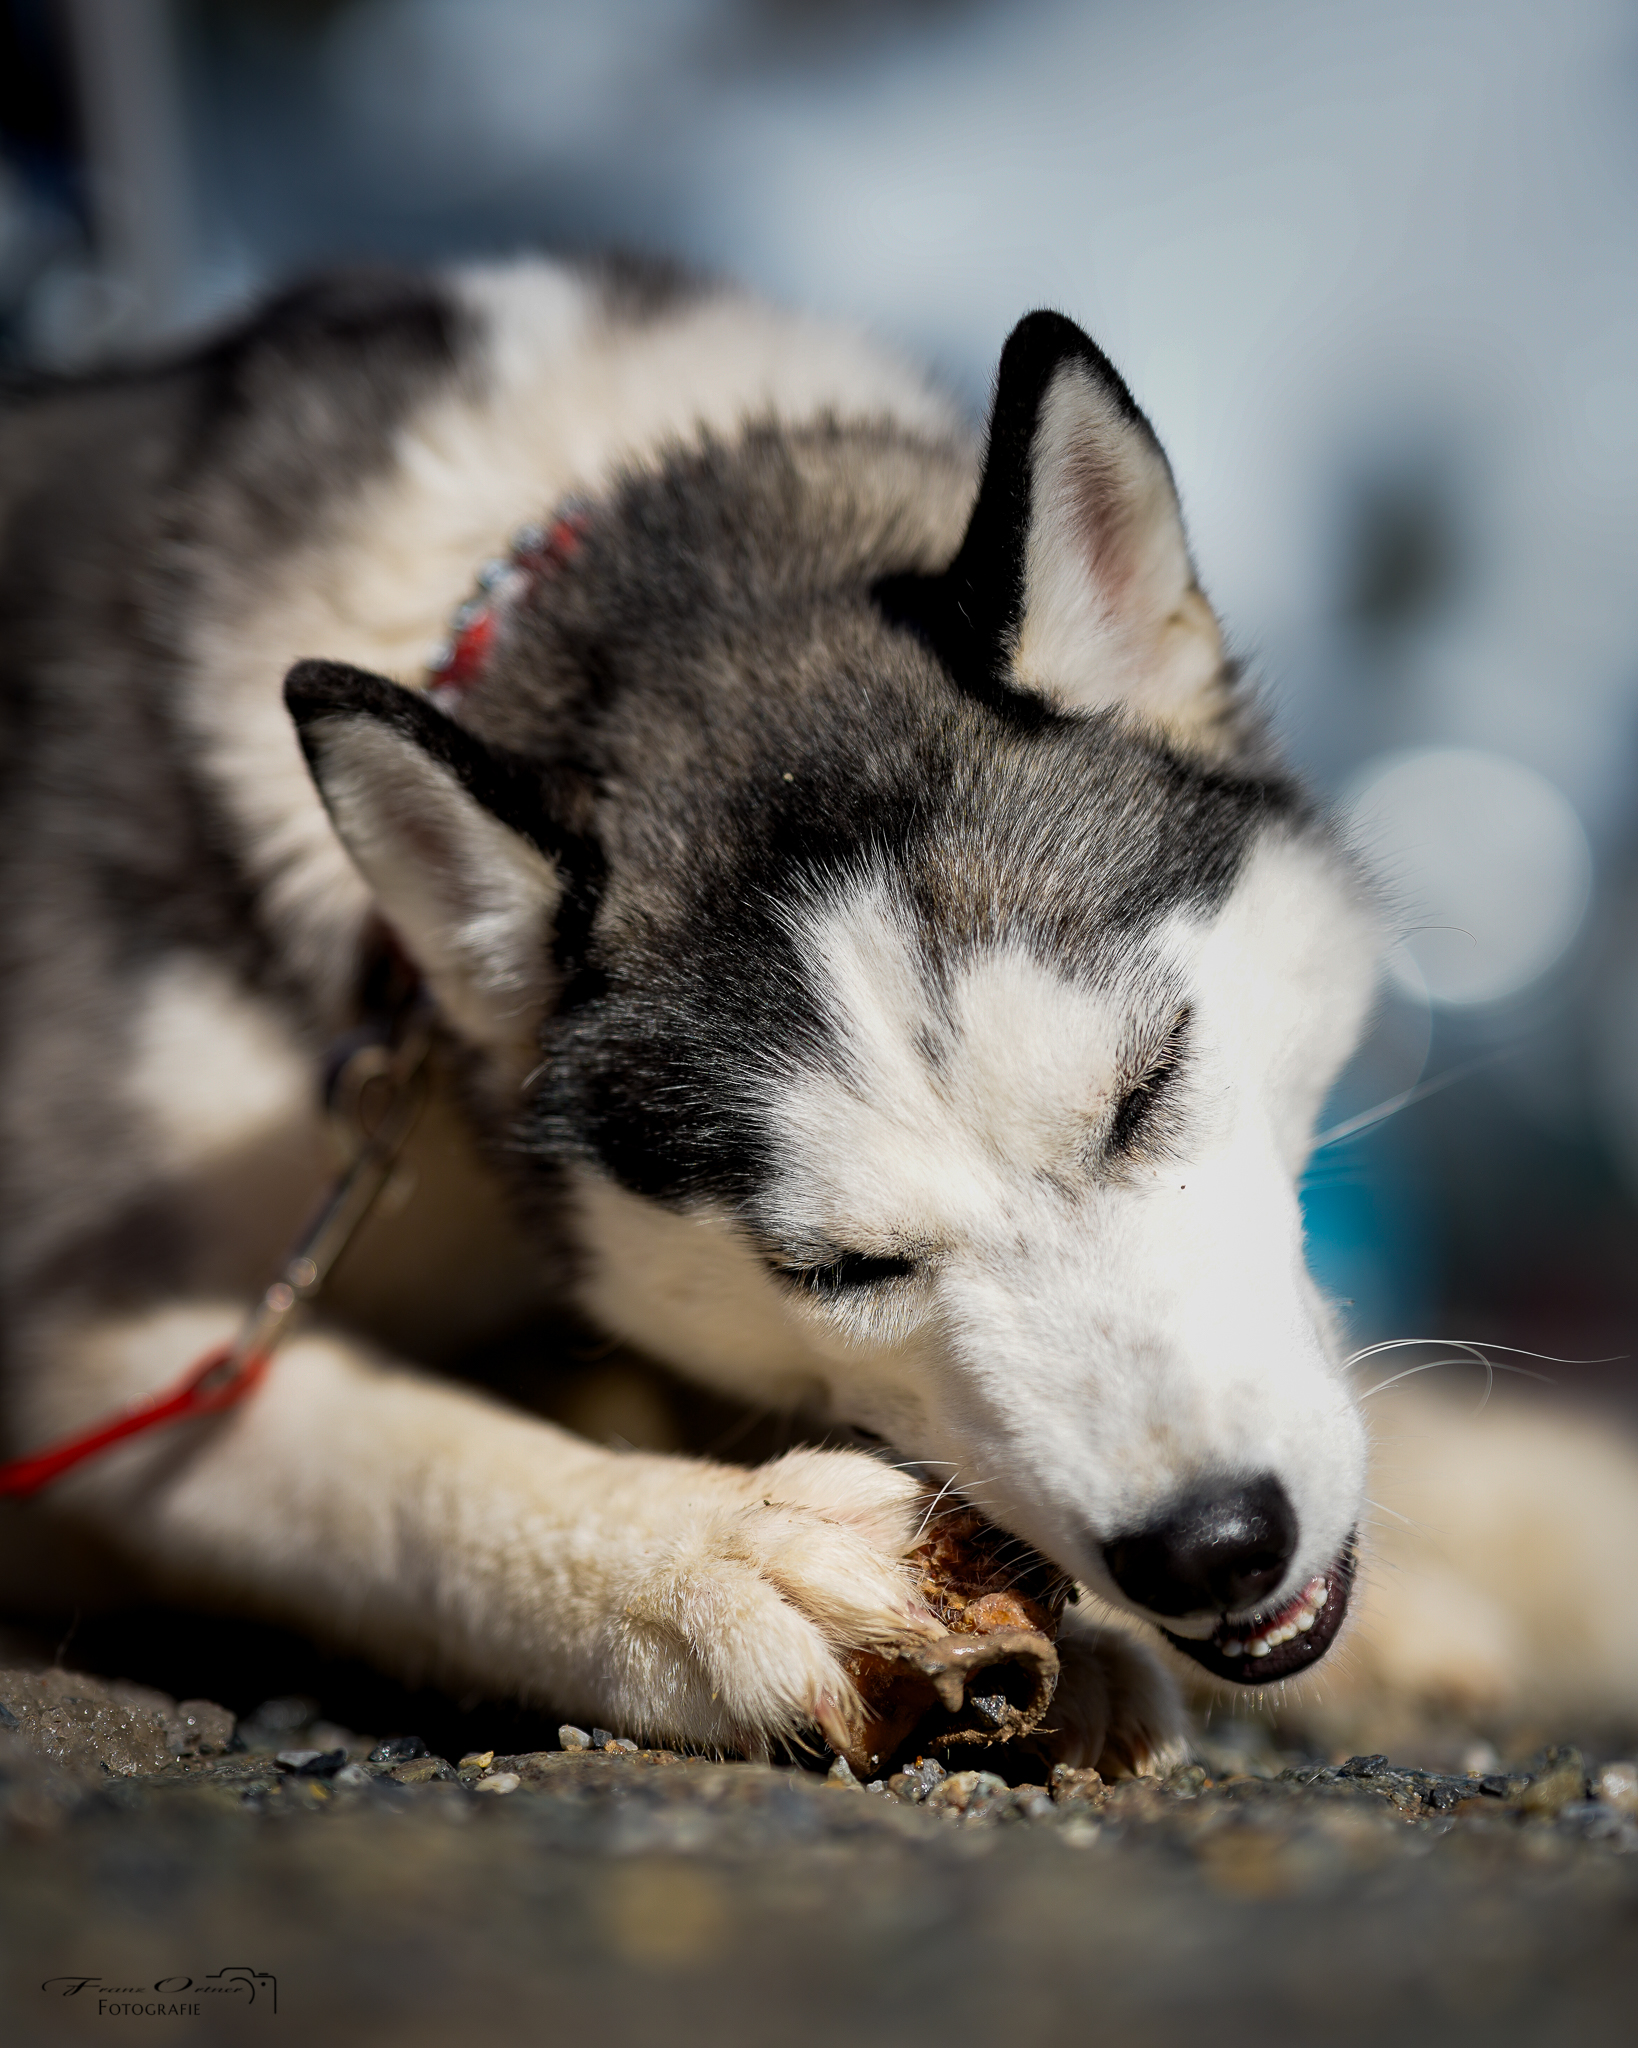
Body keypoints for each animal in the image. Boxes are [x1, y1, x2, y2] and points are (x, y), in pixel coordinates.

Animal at [0, 255, 1618, 1772]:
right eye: (842, 1269)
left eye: (1147, 1087)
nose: (1210, 1544)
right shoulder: (76, 1331)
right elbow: (353, 1452)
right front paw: (713, 1561)